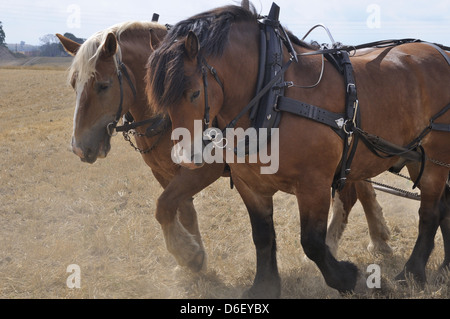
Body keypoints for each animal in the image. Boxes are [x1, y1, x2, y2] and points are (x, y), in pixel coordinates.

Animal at [147, 5, 450, 298]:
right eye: (159, 99)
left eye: (195, 93)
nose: (185, 158)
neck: (274, 95)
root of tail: (441, 52)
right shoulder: (250, 185)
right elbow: (262, 236)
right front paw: (264, 286)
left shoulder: (314, 184)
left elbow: (312, 242)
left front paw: (347, 277)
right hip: (417, 156)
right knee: (443, 208)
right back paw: (445, 267)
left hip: (435, 158)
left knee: (430, 213)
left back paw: (411, 274)